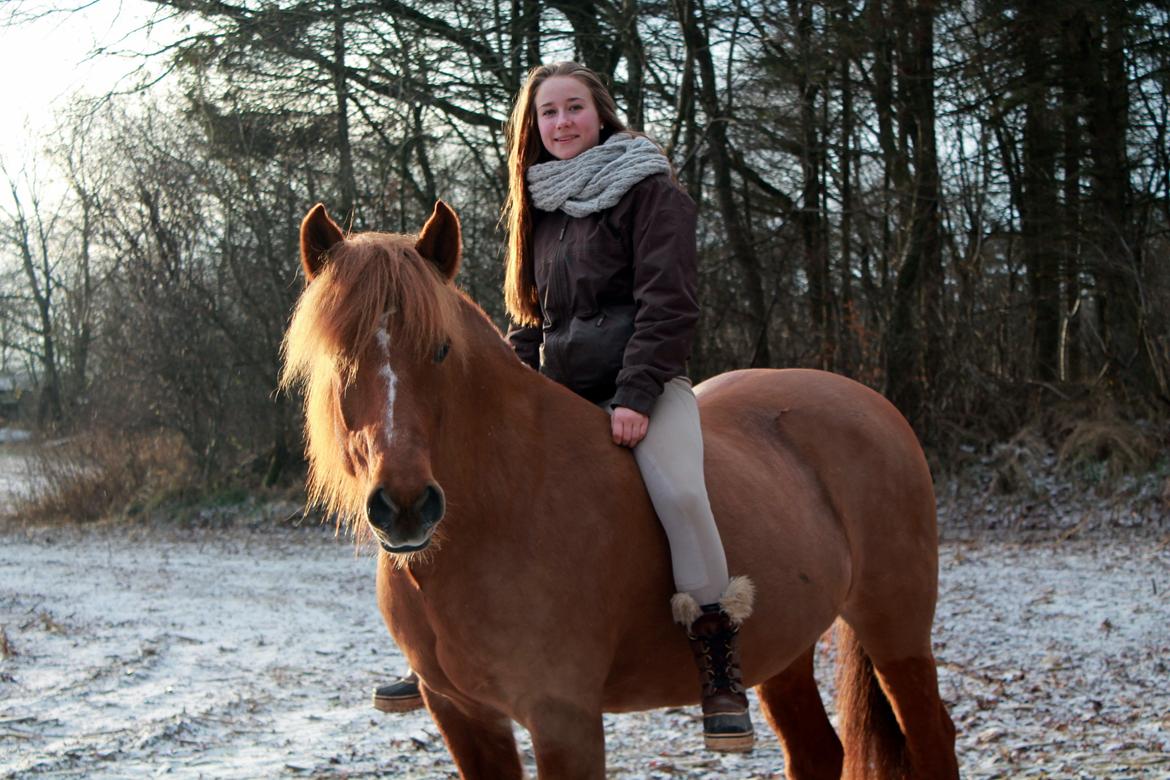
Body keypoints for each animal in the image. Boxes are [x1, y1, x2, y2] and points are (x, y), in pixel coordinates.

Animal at [281, 201, 959, 780]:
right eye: (337, 358)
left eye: (441, 349)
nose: (405, 507)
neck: (504, 507)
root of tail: (870, 402)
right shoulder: (464, 717)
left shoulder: (564, 719)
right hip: (784, 644)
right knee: (818, 750)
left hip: (895, 628)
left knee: (932, 735)